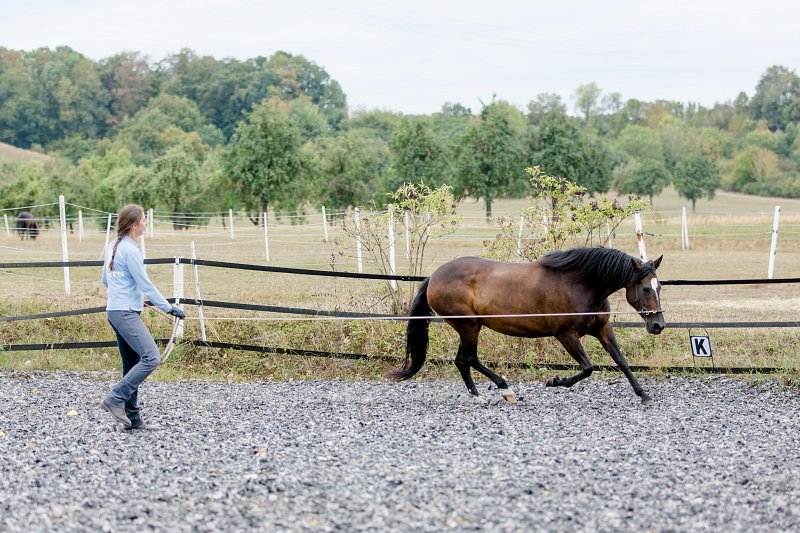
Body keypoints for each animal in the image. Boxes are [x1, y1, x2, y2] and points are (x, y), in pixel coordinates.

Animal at [386, 247, 664, 406]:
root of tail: (433, 276)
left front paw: (644, 395)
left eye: (660, 286)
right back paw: (503, 391)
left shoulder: (603, 328)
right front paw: (554, 381)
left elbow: (621, 361)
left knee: (463, 361)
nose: (658, 325)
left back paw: (481, 395)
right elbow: (587, 368)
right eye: (646, 288)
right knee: (469, 359)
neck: (580, 285)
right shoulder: (566, 335)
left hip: (468, 327)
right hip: (469, 326)